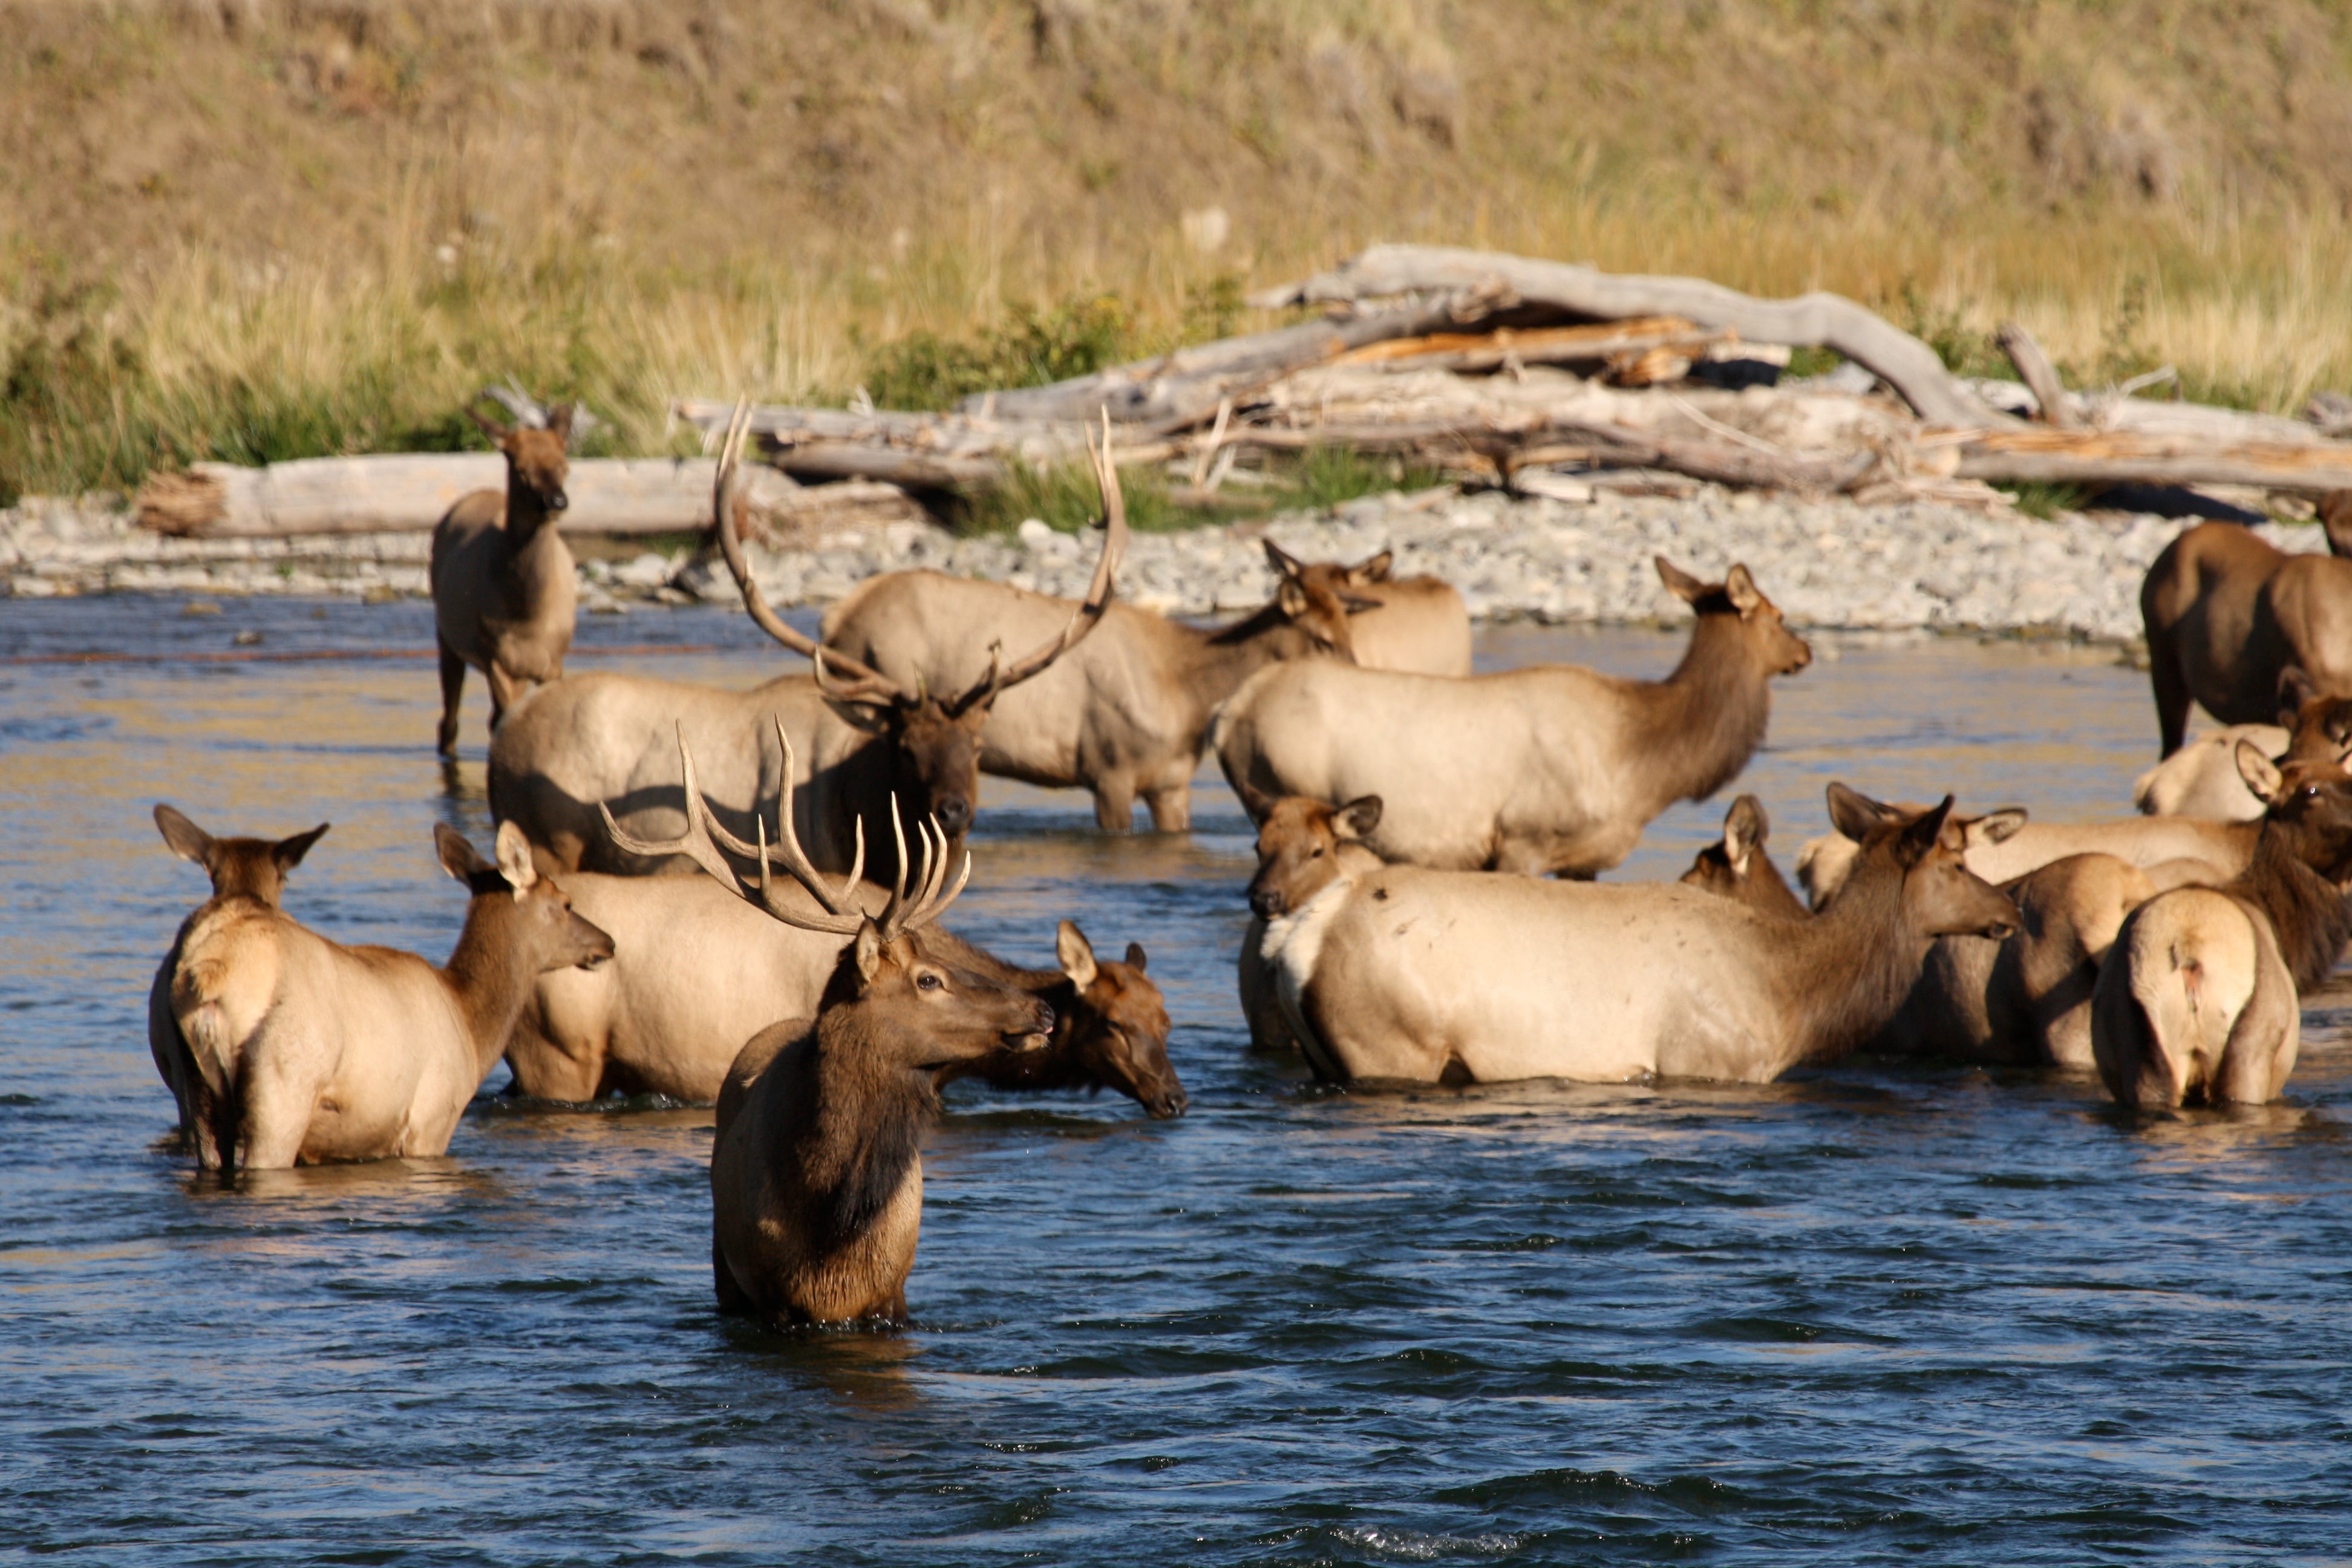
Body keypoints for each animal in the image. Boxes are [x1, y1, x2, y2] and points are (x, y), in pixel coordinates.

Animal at [163, 820, 613, 1171]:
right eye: (566, 903)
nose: (607, 942)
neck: (472, 1026)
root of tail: (213, 971)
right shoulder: (432, 1122)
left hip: (197, 1089)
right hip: (284, 1084)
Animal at [432, 404, 579, 753]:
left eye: (564, 465)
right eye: (521, 468)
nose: (557, 501)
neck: (528, 615)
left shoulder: (553, 661)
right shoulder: (496, 658)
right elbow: (503, 722)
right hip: (447, 636)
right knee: (451, 720)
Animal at [596, 729, 1052, 1327]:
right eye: (929, 979)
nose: (1043, 1009)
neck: (833, 1216)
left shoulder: (892, 1294)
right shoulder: (772, 1299)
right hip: (724, 1269)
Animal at [1215, 558, 1813, 877]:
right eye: (1780, 615)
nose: (1805, 650)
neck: (1644, 762)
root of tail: (1229, 711)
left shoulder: (1584, 857)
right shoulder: (1523, 840)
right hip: (1283, 789)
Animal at [1238, 782, 2016, 1086]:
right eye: (1955, 862)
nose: (2007, 909)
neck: (1792, 994)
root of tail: (1301, 933)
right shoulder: (1705, 1059)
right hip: (1389, 1045)